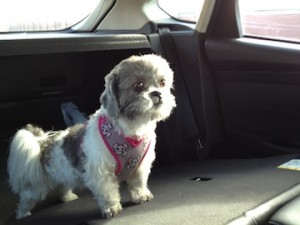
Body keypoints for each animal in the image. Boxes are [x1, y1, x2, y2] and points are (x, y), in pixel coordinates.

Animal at [7, 54, 176, 220]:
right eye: (138, 85)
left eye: (162, 82)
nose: (157, 93)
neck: (131, 129)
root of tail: (43, 143)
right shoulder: (100, 172)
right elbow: (107, 192)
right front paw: (111, 208)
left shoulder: (140, 165)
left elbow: (138, 182)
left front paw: (140, 196)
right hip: (37, 188)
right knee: (26, 200)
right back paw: (23, 215)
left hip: (64, 175)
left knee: (62, 186)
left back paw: (68, 197)